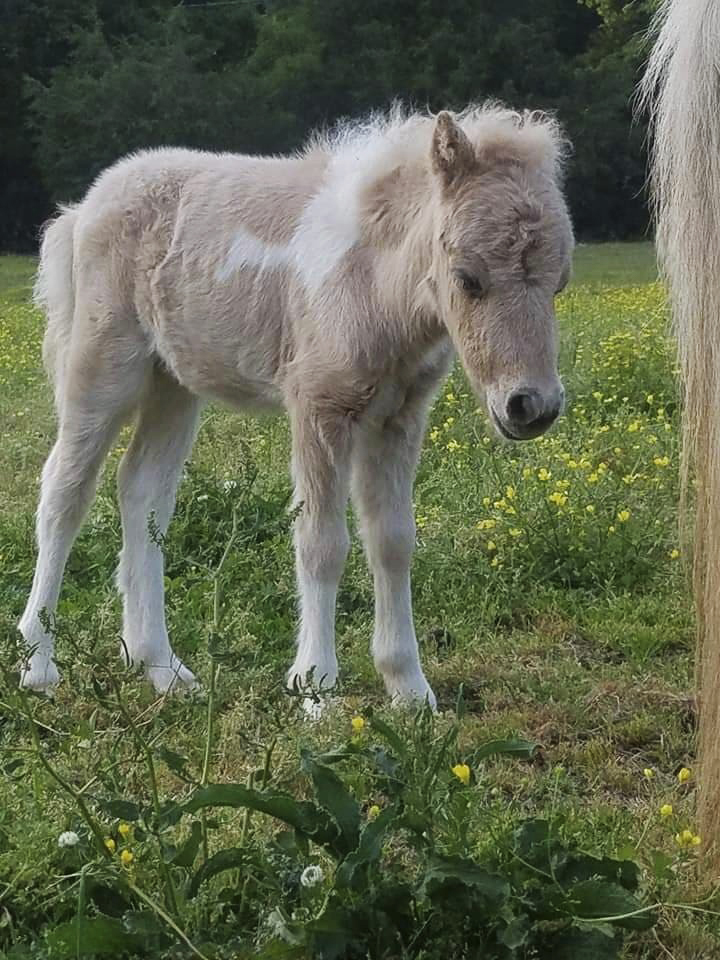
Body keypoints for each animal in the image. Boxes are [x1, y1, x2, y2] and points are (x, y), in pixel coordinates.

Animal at [19, 104, 573, 709]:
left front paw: (408, 687)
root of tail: (84, 208)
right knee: (65, 492)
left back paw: (161, 668)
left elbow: (394, 541)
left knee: (143, 492)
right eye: (467, 278)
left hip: (173, 383)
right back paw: (37, 665)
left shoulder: (399, 418)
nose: (530, 406)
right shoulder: (319, 407)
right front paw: (316, 688)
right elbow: (321, 544)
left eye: (559, 284)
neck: (371, 280)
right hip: (103, 366)